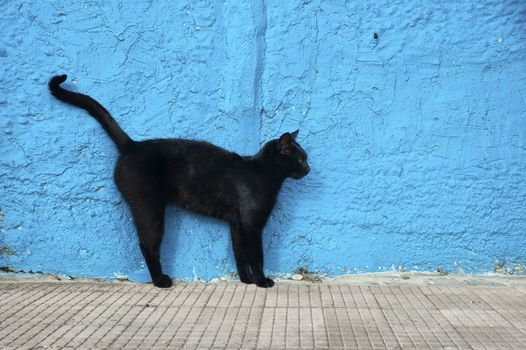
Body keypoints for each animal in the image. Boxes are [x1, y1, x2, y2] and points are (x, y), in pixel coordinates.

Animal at [49, 75, 310, 288]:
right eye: (301, 159)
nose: (308, 169)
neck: (263, 172)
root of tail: (132, 145)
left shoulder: (237, 223)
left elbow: (239, 253)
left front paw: (246, 280)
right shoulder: (251, 225)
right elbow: (256, 255)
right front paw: (262, 281)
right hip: (150, 209)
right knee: (148, 245)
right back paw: (161, 281)